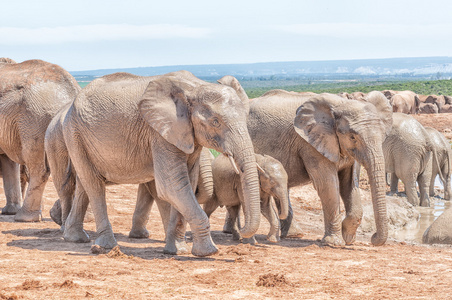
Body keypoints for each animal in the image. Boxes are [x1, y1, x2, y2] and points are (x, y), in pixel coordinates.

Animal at [0, 58, 80, 220]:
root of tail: (72, 89)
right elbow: (9, 162)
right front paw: (9, 211)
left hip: (34, 119)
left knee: (37, 165)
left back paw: (25, 218)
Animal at [57, 71, 260, 258]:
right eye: (215, 122)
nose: (239, 232)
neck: (195, 87)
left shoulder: (186, 134)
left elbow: (187, 182)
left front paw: (177, 250)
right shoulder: (159, 133)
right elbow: (172, 186)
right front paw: (208, 252)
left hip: (79, 137)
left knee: (85, 183)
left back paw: (75, 238)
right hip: (74, 132)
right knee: (94, 185)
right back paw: (107, 247)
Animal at [215, 86, 392, 246]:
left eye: (383, 134)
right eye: (353, 137)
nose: (373, 238)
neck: (340, 104)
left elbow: (349, 184)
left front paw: (348, 239)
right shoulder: (309, 144)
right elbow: (327, 184)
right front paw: (334, 243)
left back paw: (292, 234)